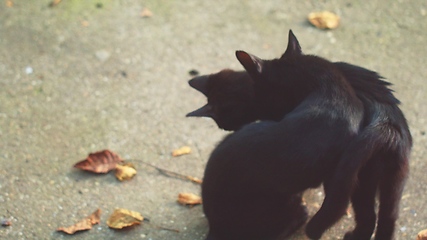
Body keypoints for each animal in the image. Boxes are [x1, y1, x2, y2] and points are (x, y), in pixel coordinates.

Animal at [189, 31, 412, 239]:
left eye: (222, 120)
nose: (227, 129)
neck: (329, 90)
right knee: (384, 216)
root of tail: (387, 125)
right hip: (388, 179)